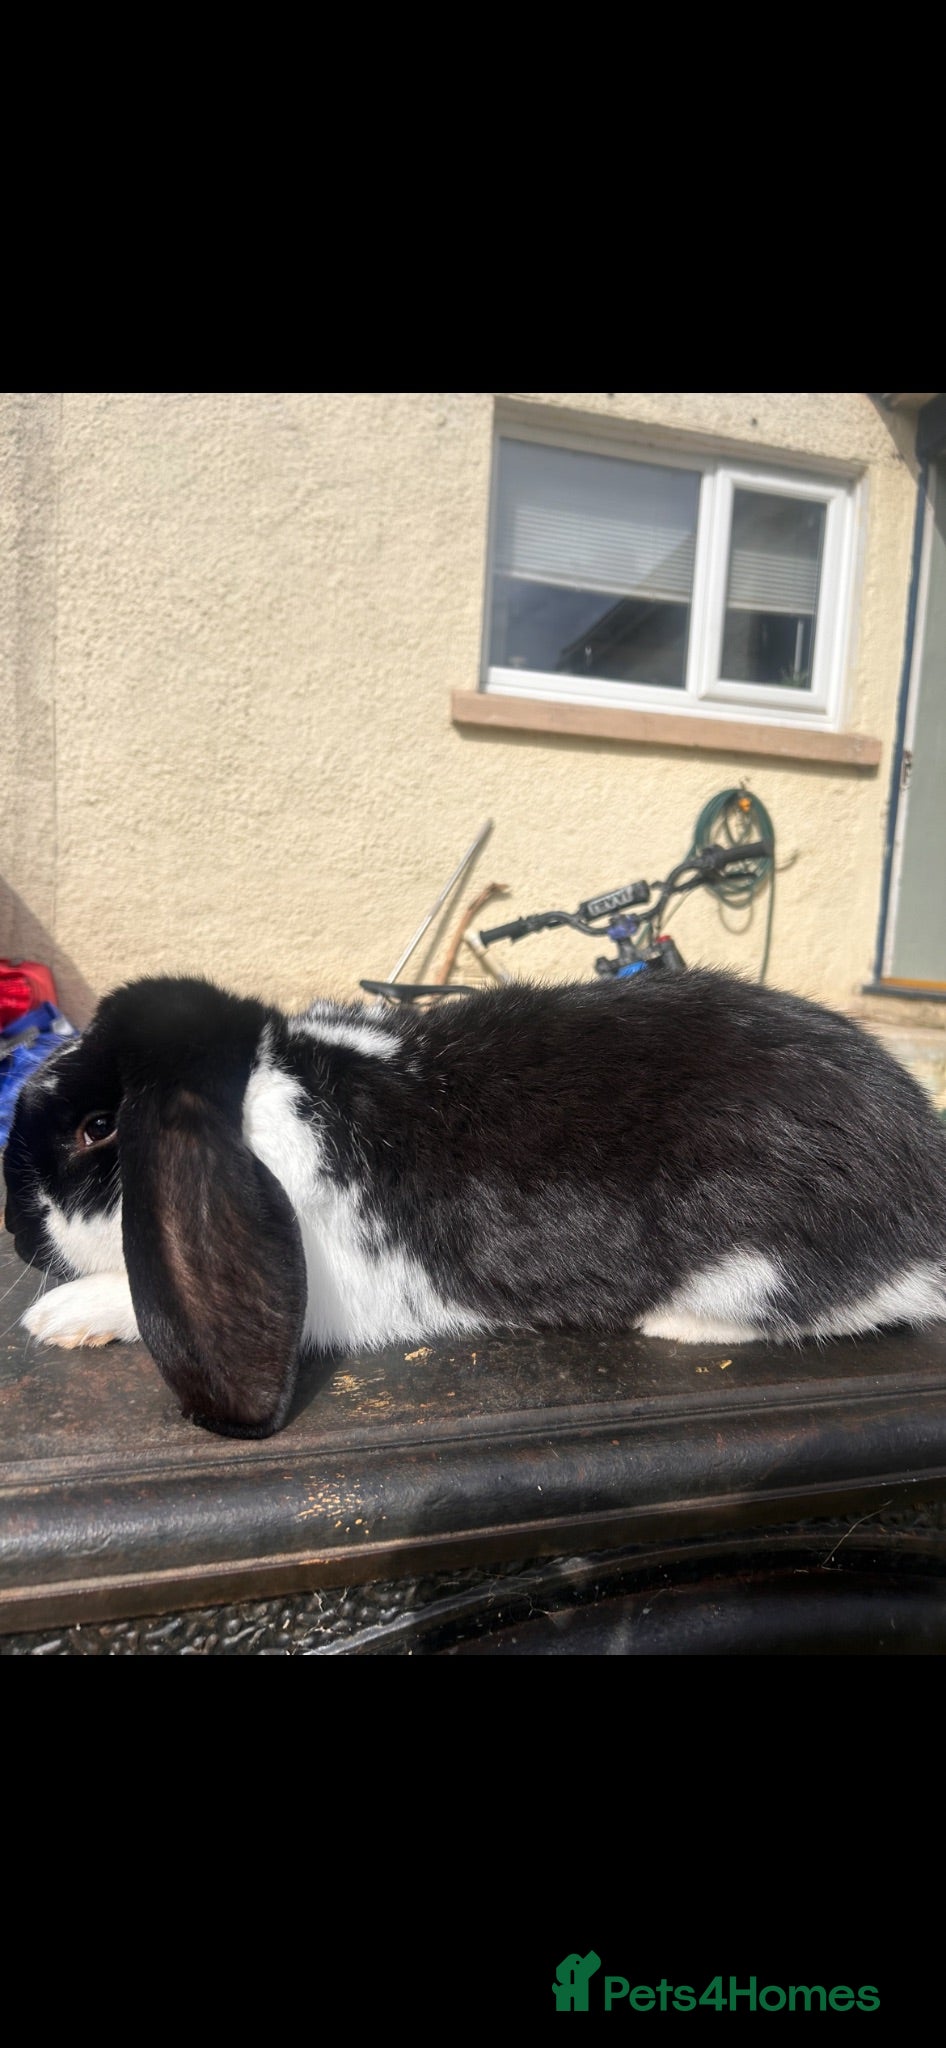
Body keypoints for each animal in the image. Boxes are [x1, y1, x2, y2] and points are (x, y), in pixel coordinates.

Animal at [5, 968, 946, 1440]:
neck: (261, 1099)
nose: (16, 1232)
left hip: (757, 1257)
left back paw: (672, 1323)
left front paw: (57, 1316)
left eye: (97, 1128)